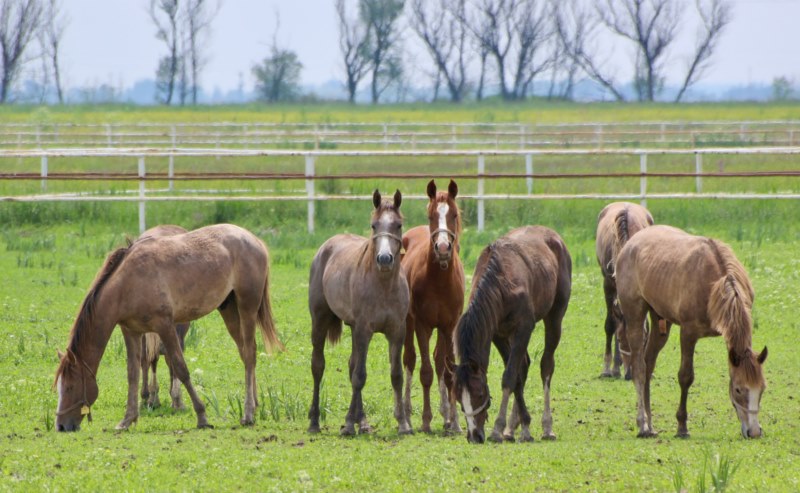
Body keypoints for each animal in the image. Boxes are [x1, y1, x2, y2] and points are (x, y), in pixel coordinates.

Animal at [54, 223, 282, 430]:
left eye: (70, 386)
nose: (61, 426)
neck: (127, 283)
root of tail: (255, 240)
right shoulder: (132, 331)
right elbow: (133, 374)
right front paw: (128, 419)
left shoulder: (164, 326)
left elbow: (181, 369)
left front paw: (201, 416)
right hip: (229, 311)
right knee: (244, 353)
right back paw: (254, 405)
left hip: (247, 308)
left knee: (250, 354)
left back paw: (248, 414)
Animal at [592, 200, 656, 376]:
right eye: (621, 339)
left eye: (644, 340)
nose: (630, 374)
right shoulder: (608, 284)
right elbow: (610, 325)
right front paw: (609, 367)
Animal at [612, 225, 768, 436]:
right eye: (738, 389)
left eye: (762, 388)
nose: (754, 432)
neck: (715, 286)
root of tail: (631, 243)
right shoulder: (688, 333)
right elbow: (686, 377)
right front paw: (682, 426)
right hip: (635, 316)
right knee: (639, 369)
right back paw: (643, 424)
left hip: (660, 323)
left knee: (648, 364)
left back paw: (650, 424)